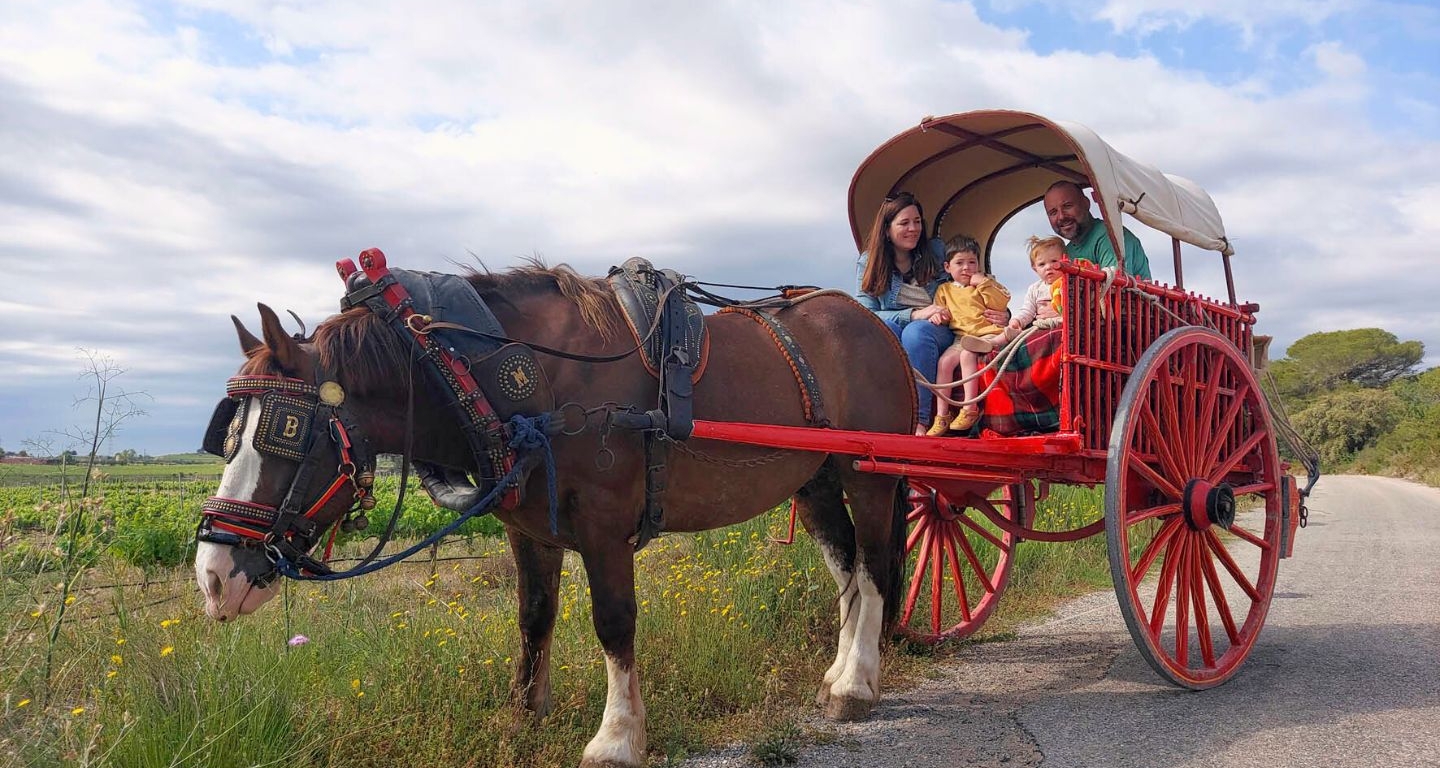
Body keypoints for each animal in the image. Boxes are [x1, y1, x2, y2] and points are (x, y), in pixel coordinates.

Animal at [194, 260, 910, 760]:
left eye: (289, 432)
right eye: (227, 435)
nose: (213, 576)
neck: (493, 376)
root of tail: (874, 324)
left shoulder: (605, 527)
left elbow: (614, 624)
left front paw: (617, 737)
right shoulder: (531, 532)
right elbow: (534, 617)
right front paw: (523, 715)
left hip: (869, 476)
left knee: (874, 570)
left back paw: (856, 685)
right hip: (816, 482)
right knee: (846, 572)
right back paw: (839, 673)